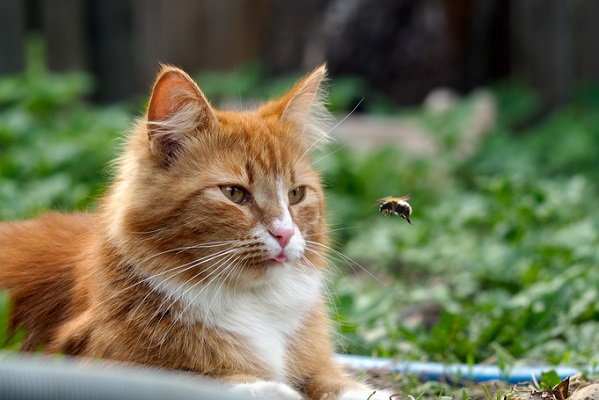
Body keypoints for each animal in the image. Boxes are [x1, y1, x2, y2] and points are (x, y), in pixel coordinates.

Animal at [0, 64, 398, 398]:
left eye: (296, 195)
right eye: (234, 194)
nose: (285, 234)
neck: (250, 302)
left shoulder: (316, 365)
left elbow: (341, 384)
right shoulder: (91, 359)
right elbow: (207, 377)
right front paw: (273, 389)